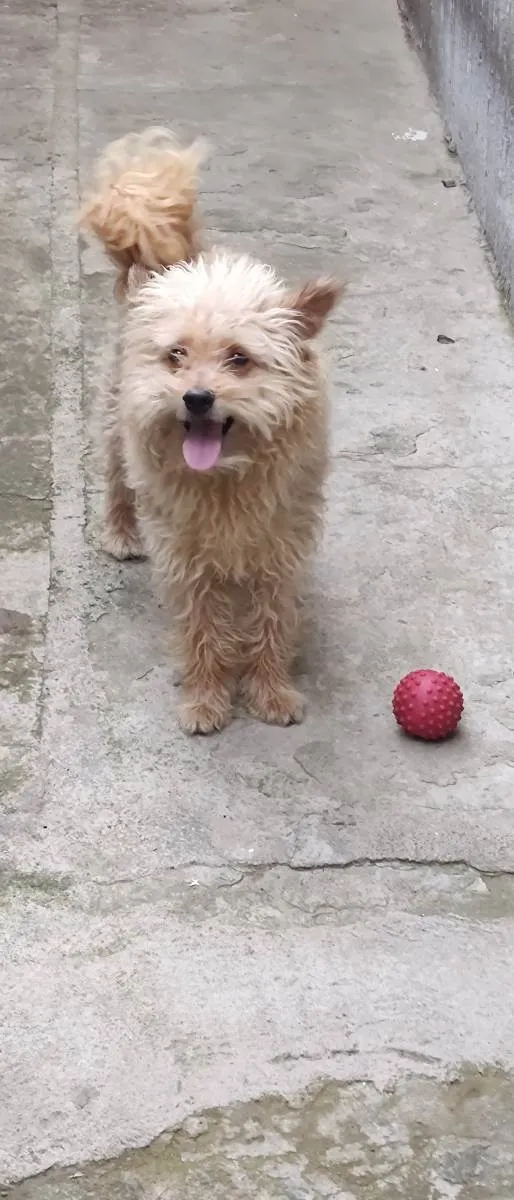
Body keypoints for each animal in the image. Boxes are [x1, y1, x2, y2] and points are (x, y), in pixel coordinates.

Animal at [79, 129, 341, 729]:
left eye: (239, 358)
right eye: (176, 355)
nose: (196, 398)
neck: (226, 477)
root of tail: (170, 267)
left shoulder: (281, 545)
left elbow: (271, 620)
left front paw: (270, 690)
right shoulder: (187, 556)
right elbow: (200, 628)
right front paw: (205, 696)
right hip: (116, 421)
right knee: (116, 479)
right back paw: (120, 533)